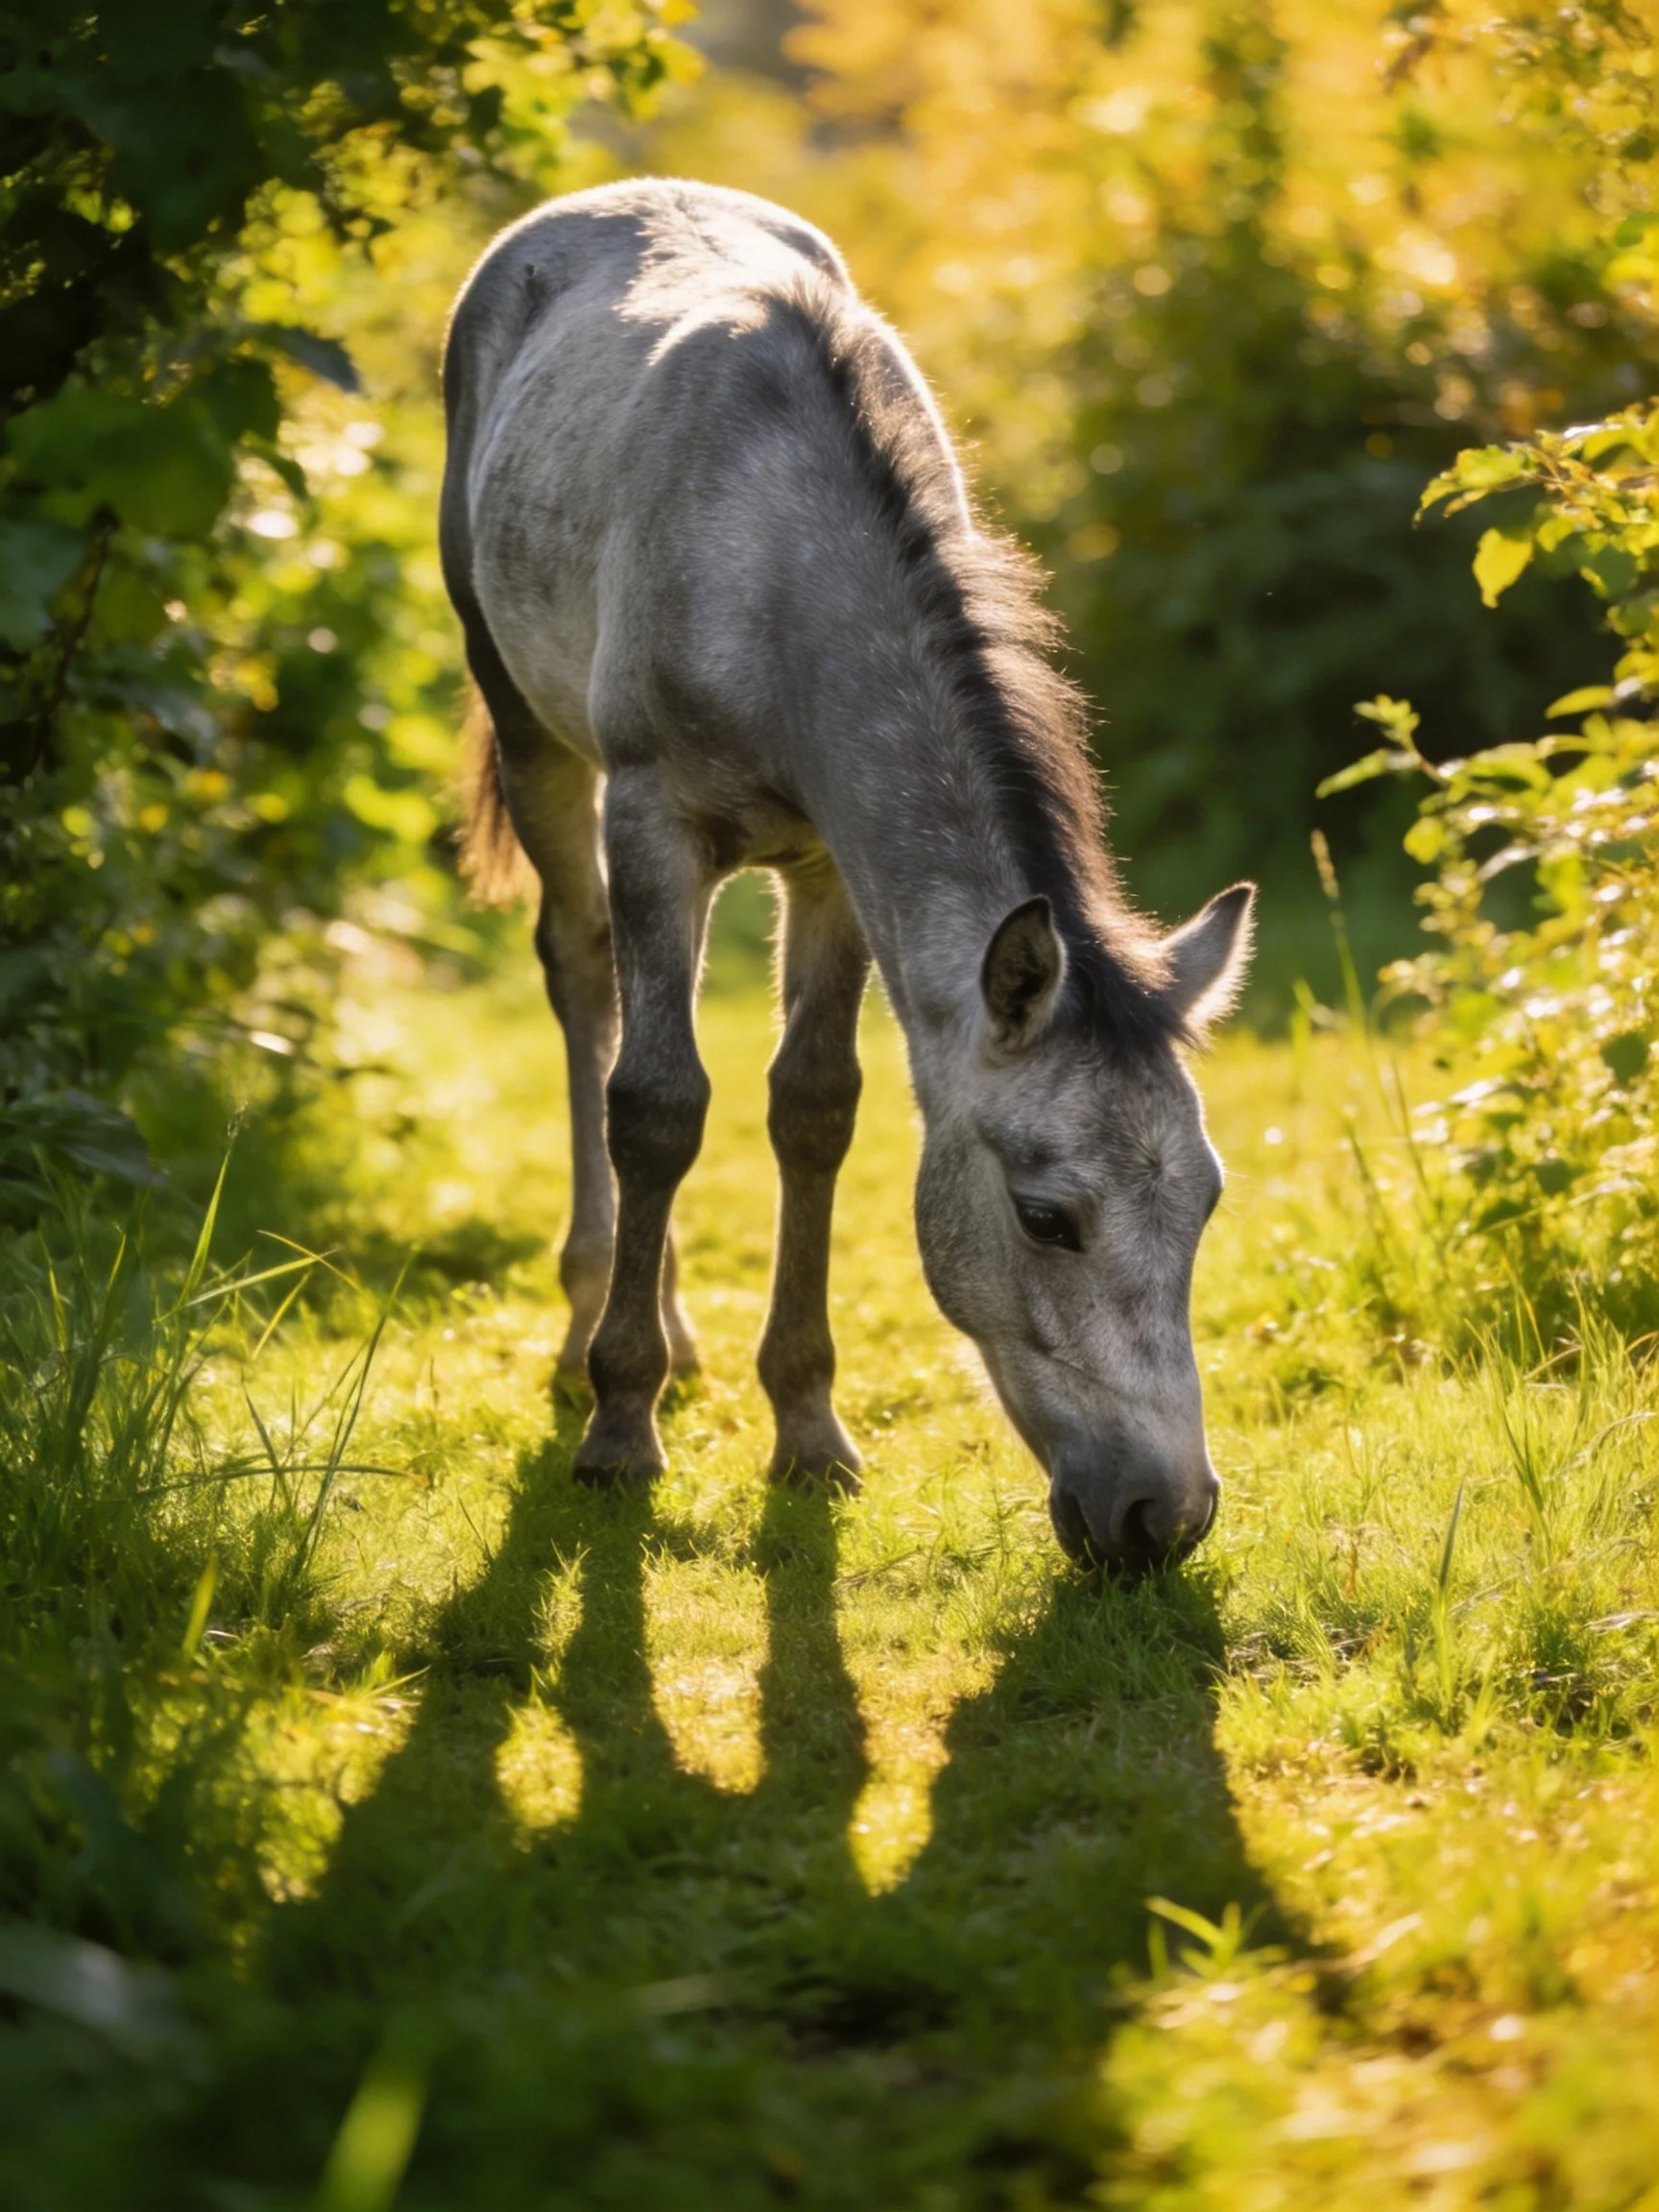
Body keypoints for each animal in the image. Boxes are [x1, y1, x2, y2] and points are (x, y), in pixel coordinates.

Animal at [439, 178, 1253, 1572]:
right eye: (1047, 1216)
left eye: (1204, 1202)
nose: (1165, 1516)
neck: (777, 559)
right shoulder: (656, 819)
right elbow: (656, 1104)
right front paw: (620, 1427)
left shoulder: (829, 864)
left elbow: (813, 1109)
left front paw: (809, 1431)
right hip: (537, 737)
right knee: (582, 980)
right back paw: (594, 1319)